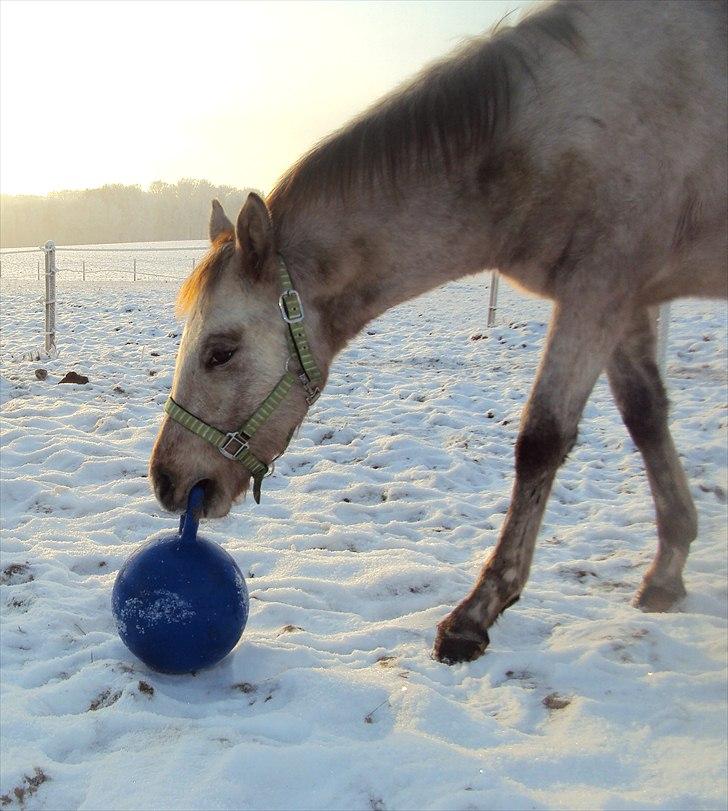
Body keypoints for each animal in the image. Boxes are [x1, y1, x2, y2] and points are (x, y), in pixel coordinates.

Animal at [149, 1, 728, 668]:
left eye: (220, 352)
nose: (165, 482)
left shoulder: (599, 285)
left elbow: (542, 440)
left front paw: (475, 615)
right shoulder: (629, 299)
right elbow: (646, 416)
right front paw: (669, 569)